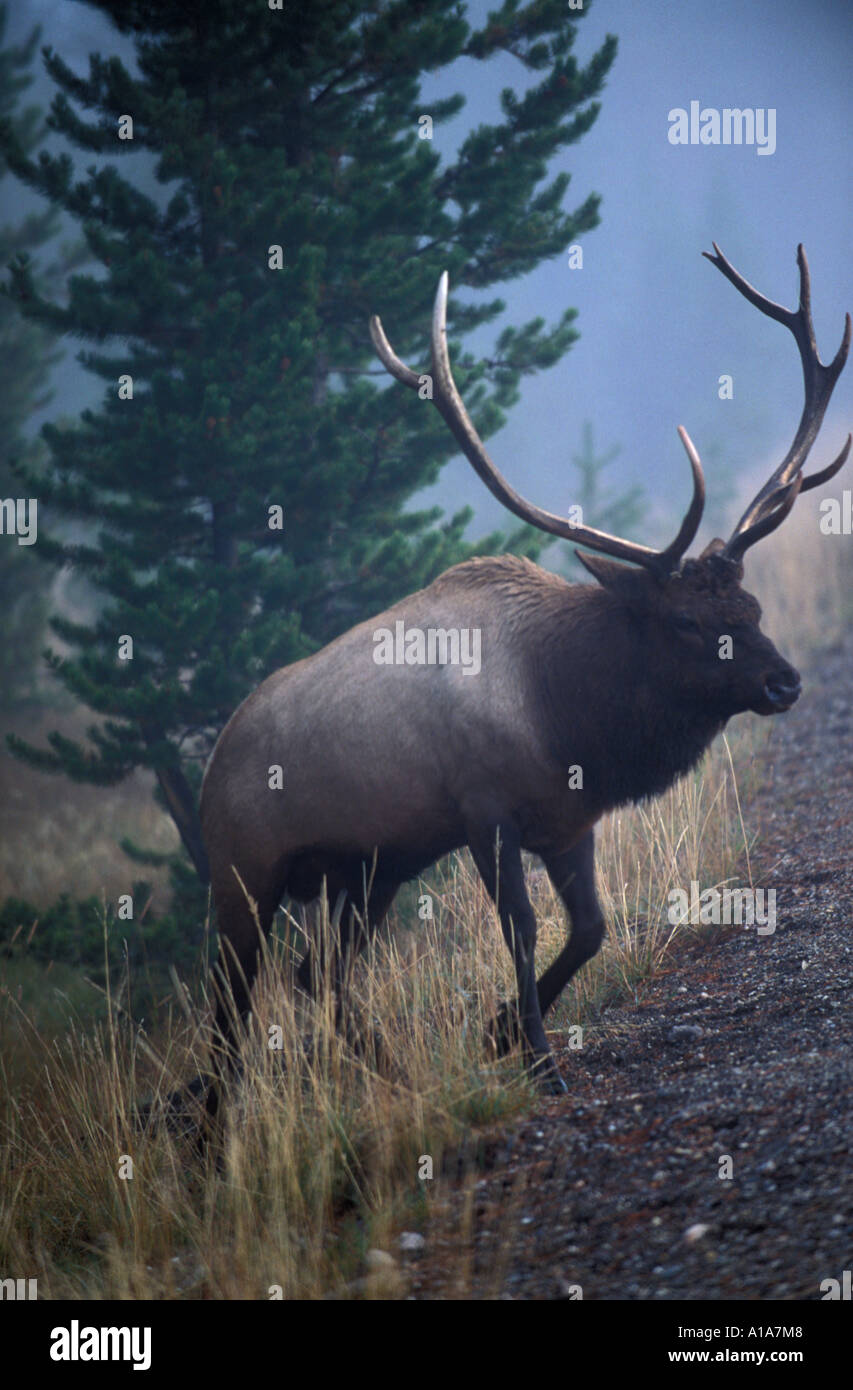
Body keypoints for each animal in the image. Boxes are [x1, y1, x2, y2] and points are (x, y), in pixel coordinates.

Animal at [200, 241, 850, 1106]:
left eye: (750, 605)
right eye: (685, 622)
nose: (784, 682)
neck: (566, 712)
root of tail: (212, 761)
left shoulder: (568, 819)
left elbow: (591, 929)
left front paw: (501, 1028)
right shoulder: (485, 810)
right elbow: (524, 928)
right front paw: (538, 1059)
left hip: (368, 866)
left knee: (319, 972)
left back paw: (392, 1075)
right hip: (243, 871)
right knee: (231, 1008)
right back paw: (215, 1123)